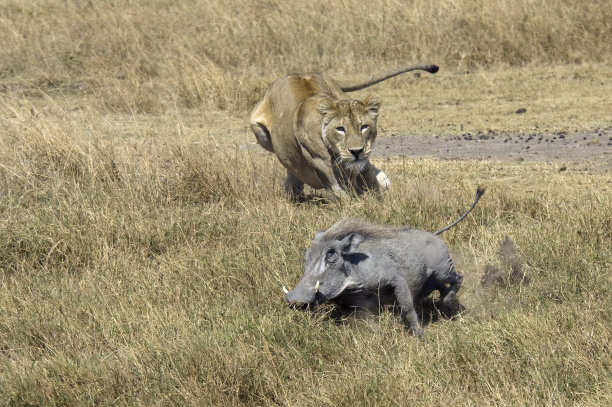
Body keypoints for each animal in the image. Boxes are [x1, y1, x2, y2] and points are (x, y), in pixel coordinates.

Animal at [250, 62, 440, 201]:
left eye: (364, 127)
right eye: (340, 129)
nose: (356, 151)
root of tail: (299, 73)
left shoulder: (364, 164)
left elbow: (375, 186)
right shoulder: (324, 168)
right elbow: (344, 195)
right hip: (259, 130)